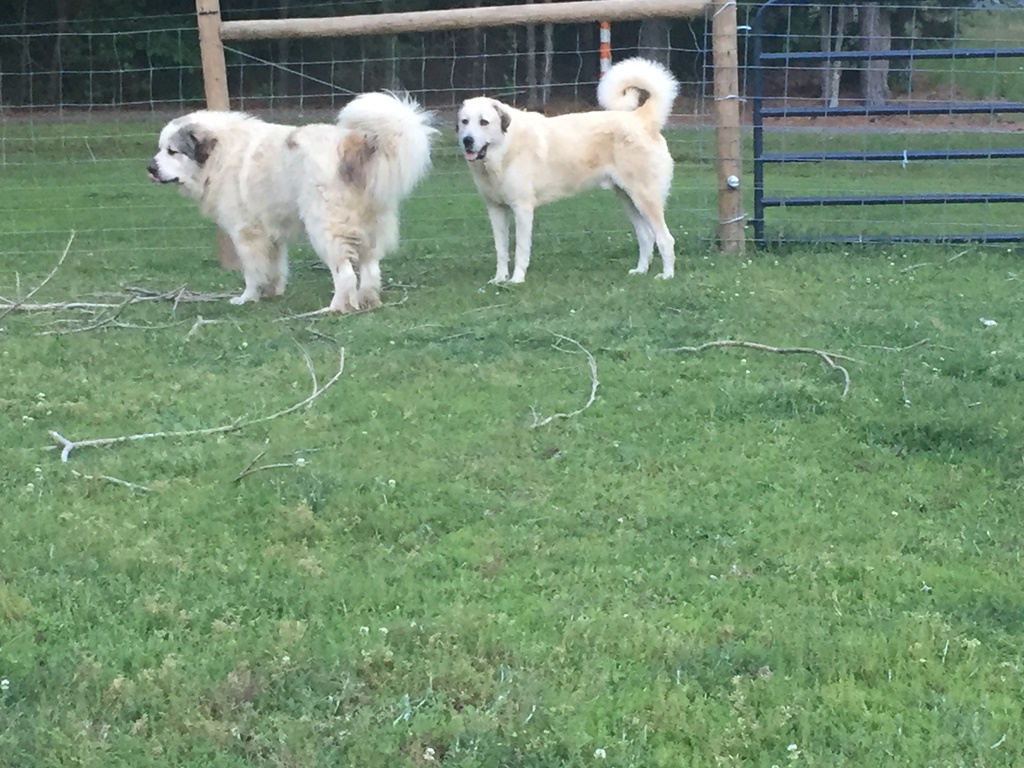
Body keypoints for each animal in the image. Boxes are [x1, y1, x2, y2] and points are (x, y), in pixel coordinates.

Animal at [146, 93, 434, 313]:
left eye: (172, 151)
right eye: (160, 149)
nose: (150, 168)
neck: (220, 155)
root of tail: (353, 144)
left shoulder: (246, 233)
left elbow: (252, 271)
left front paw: (247, 298)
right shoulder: (270, 234)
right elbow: (274, 267)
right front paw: (272, 292)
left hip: (324, 229)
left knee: (345, 274)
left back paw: (335, 308)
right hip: (370, 229)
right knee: (370, 269)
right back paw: (367, 301)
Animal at [458, 58, 679, 284]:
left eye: (484, 122)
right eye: (464, 121)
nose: (467, 140)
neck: (503, 150)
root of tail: (640, 118)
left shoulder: (522, 209)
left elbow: (520, 249)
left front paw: (516, 280)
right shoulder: (495, 209)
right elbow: (501, 250)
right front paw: (499, 279)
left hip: (645, 198)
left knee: (665, 239)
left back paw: (667, 275)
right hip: (628, 198)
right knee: (646, 236)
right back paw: (641, 271)